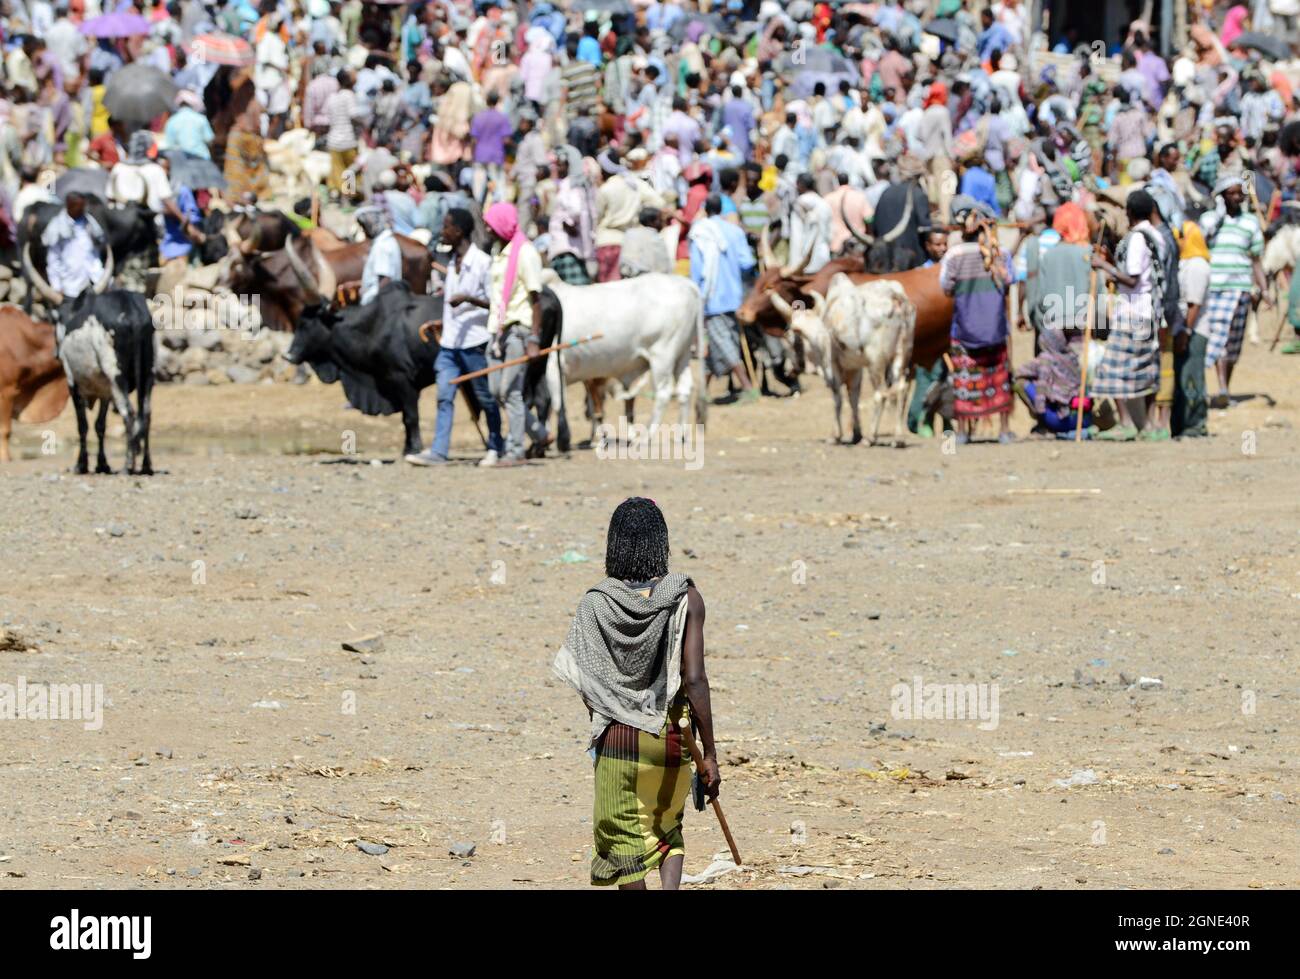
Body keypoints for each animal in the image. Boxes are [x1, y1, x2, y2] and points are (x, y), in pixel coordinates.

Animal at [283, 278, 441, 455]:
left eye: (306, 324)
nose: (288, 356)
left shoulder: (403, 378)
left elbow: (410, 417)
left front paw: (414, 449)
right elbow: (405, 418)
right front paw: (407, 447)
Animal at [535, 269, 707, 449]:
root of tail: (685, 283)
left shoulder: (554, 369)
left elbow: (555, 405)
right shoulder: (587, 379)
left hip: (663, 356)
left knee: (663, 393)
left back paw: (645, 437)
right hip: (683, 354)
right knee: (684, 389)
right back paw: (681, 436)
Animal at [769, 271, 915, 447]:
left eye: (789, 339)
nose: (788, 369)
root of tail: (895, 296)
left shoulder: (832, 365)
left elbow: (837, 397)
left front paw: (835, 435)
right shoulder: (854, 368)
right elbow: (853, 398)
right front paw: (856, 434)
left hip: (876, 362)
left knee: (881, 394)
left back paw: (870, 438)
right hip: (901, 356)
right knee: (899, 390)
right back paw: (898, 438)